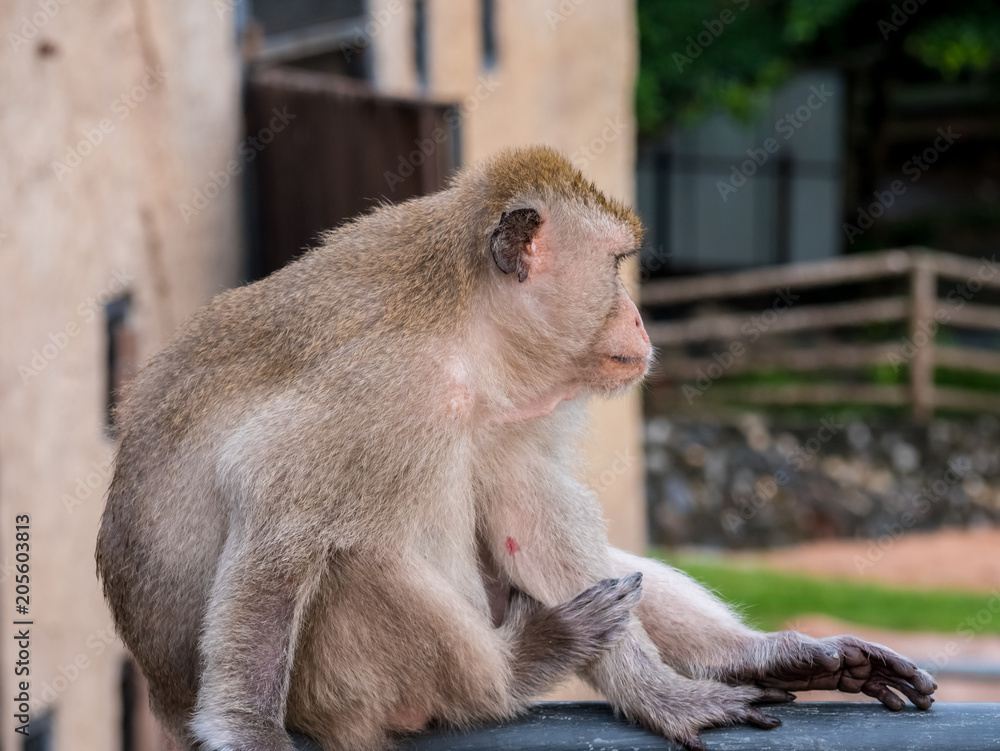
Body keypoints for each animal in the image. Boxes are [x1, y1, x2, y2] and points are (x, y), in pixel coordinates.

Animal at [96, 146, 936, 751]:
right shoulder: (382, 383)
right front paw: (250, 732)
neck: (465, 328)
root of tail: (163, 695)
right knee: (352, 561)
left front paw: (666, 688)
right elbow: (276, 516)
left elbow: (527, 515)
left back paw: (754, 653)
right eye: (616, 267)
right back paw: (518, 667)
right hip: (335, 690)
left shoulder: (514, 398)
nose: (641, 322)